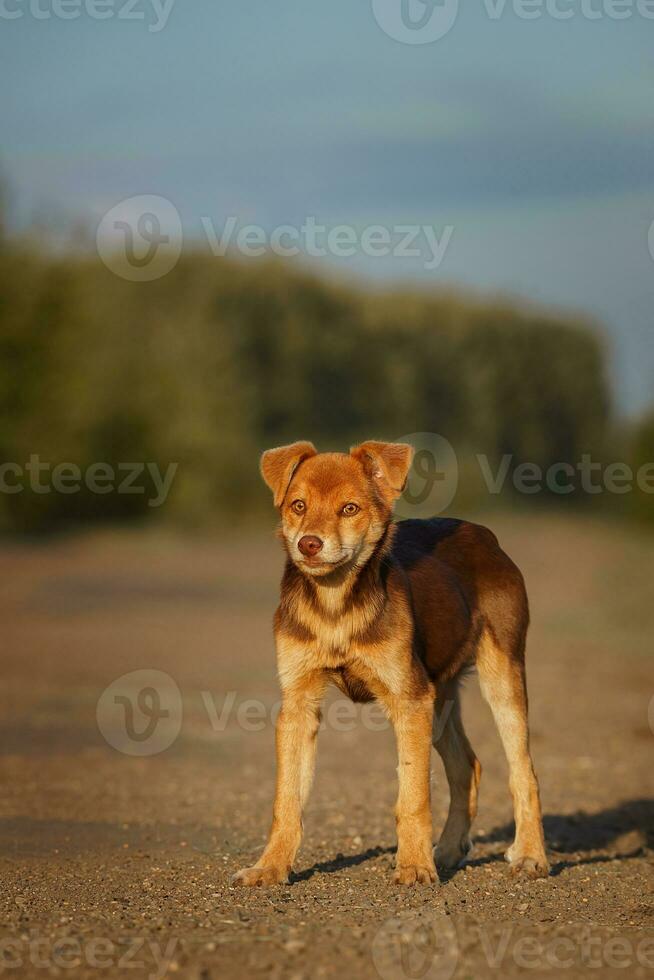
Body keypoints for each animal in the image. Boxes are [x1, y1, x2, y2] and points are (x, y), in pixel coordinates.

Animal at [233, 440, 552, 884]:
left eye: (349, 509)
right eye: (298, 505)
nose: (308, 544)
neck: (335, 605)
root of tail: (484, 536)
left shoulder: (408, 697)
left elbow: (414, 795)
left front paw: (415, 866)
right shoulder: (299, 702)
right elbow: (287, 799)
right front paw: (271, 866)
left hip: (501, 674)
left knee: (524, 772)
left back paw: (530, 856)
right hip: (439, 695)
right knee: (467, 767)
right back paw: (449, 850)